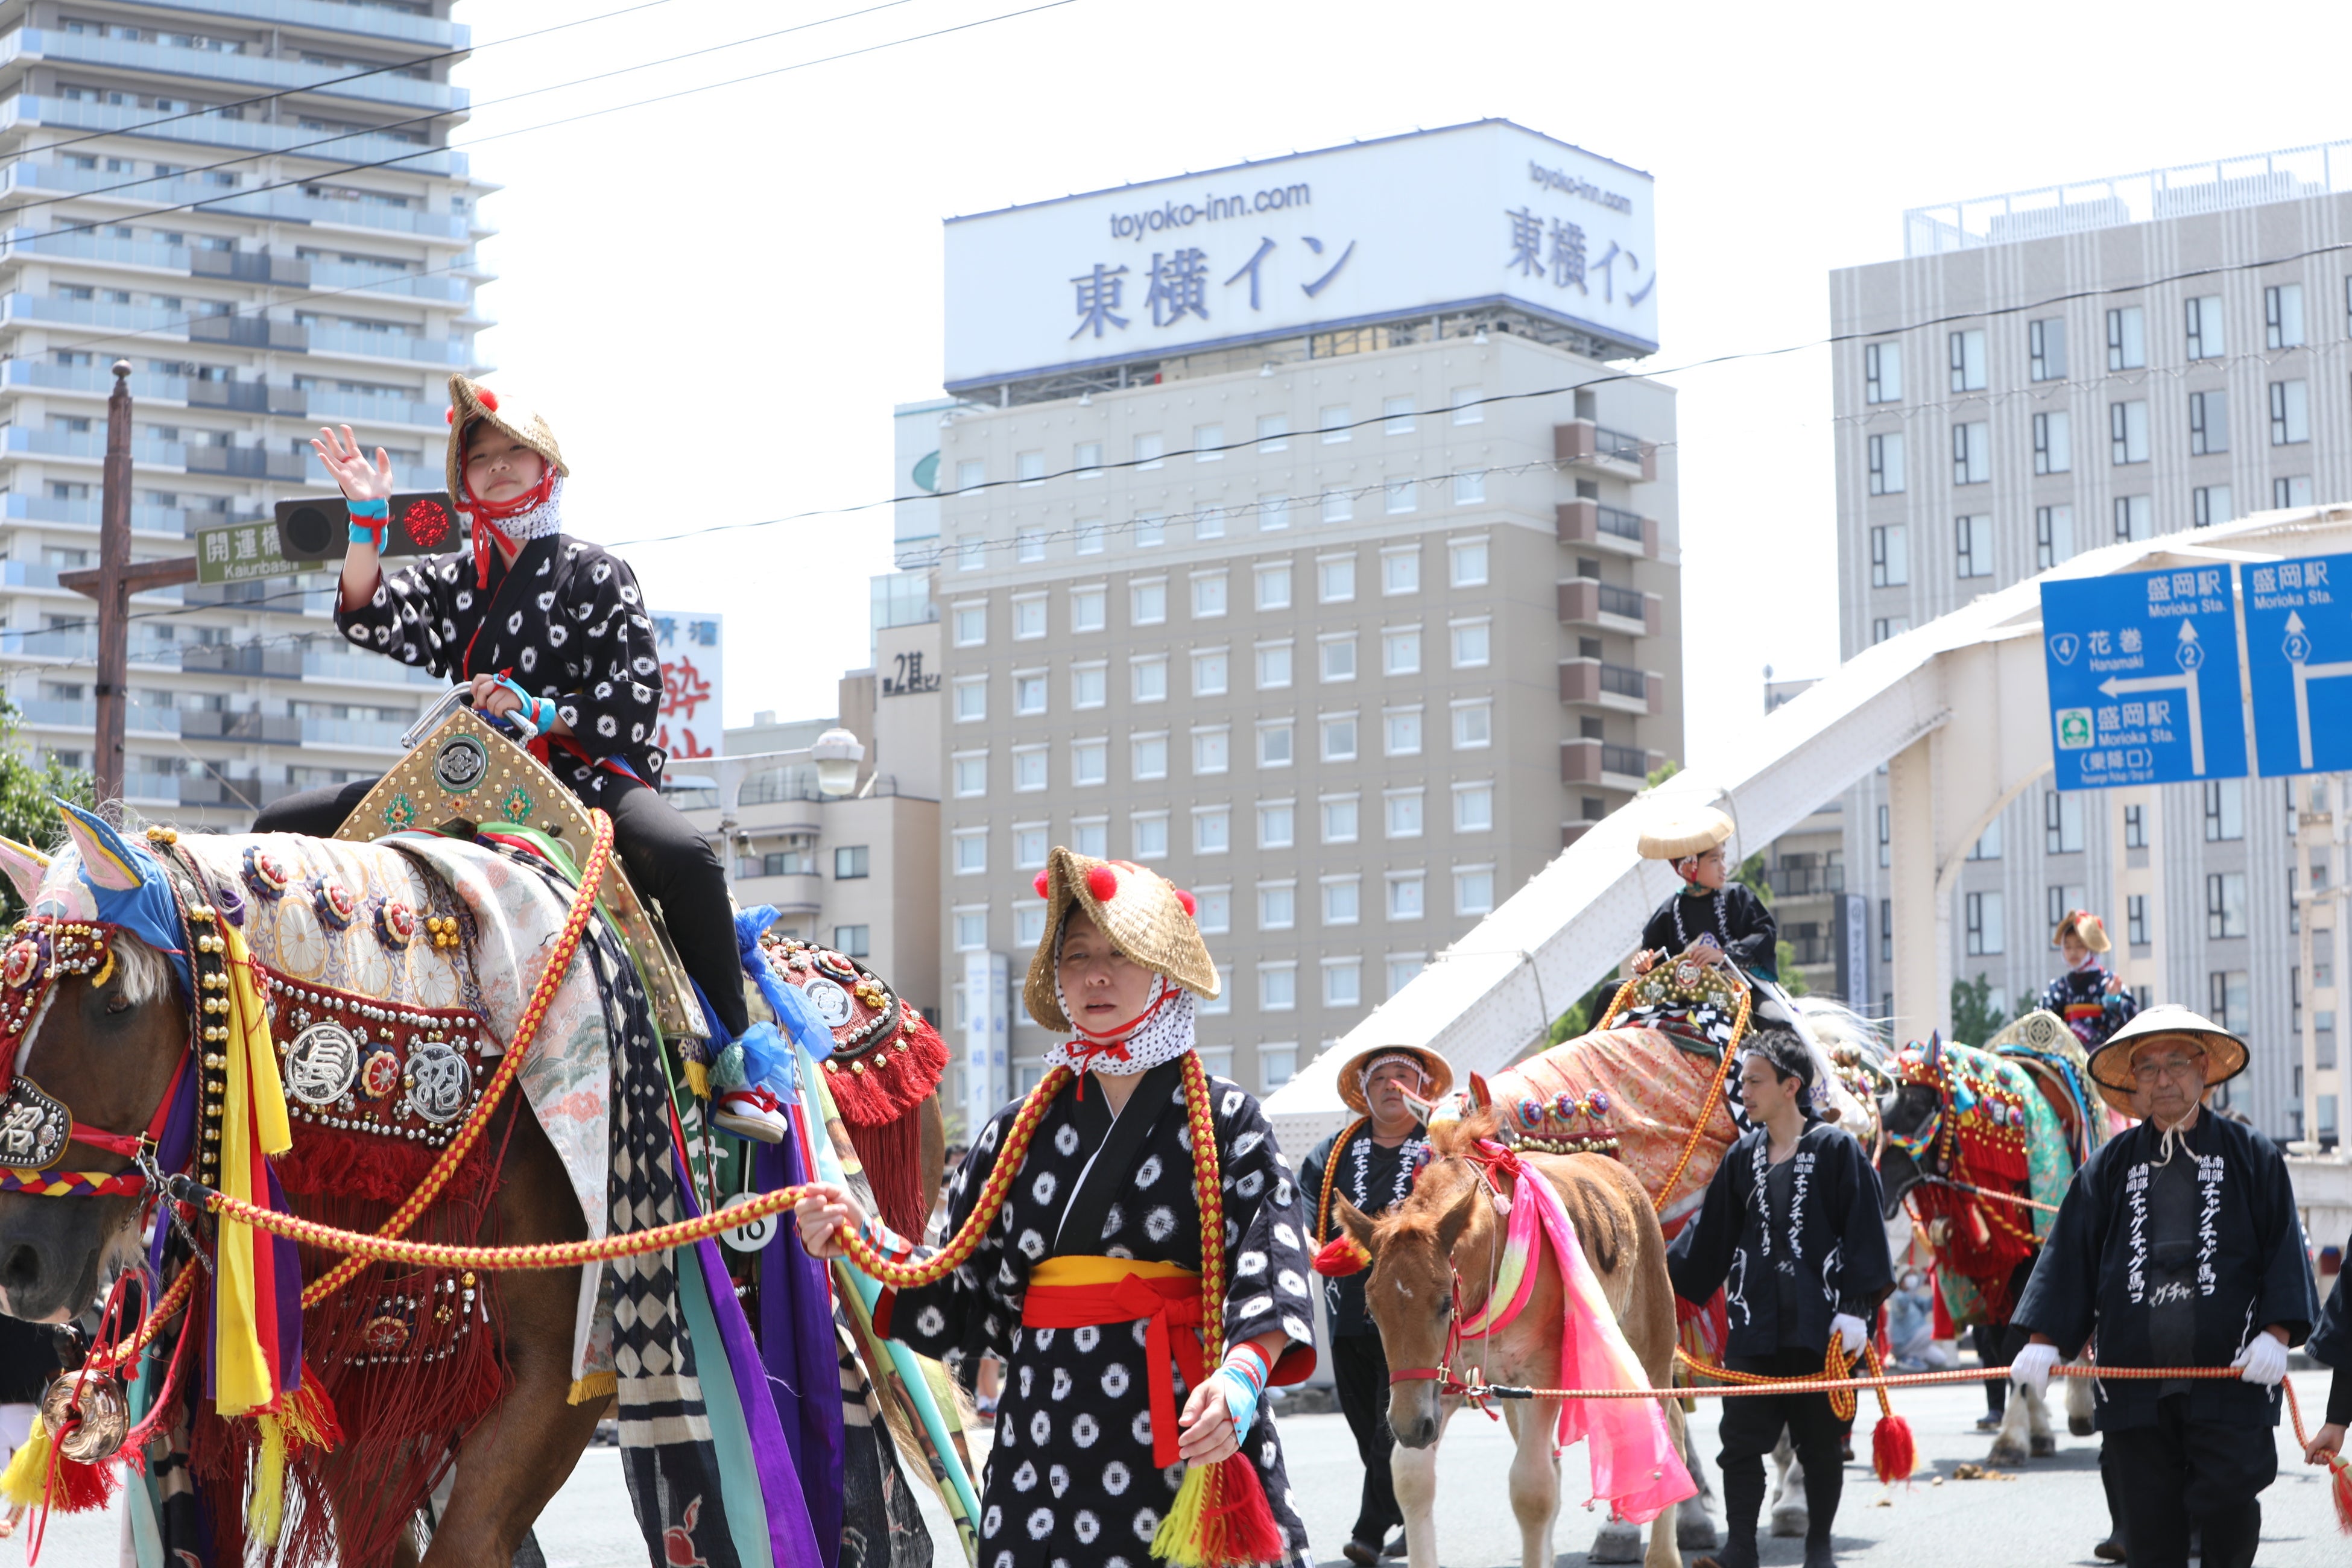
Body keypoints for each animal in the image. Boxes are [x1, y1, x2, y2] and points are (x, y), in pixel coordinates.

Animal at [1326, 1109, 1693, 1568]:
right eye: (1372, 1311)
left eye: (1445, 1303)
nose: (1408, 1425)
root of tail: (1621, 1172)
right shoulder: (1440, 1380)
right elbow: (1410, 1477)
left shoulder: (1545, 1373)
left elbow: (1533, 1491)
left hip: (1648, 1343)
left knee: (1669, 1430)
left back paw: (1662, 1553)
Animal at [1872, 1011, 2117, 1467]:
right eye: (1879, 1107)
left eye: (1915, 1106)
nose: (1876, 1187)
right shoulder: (1992, 1271)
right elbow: (2008, 1347)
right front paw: (2036, 1430)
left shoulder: (2036, 1262)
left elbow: (2019, 1343)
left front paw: (2012, 1440)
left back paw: (2080, 1410)